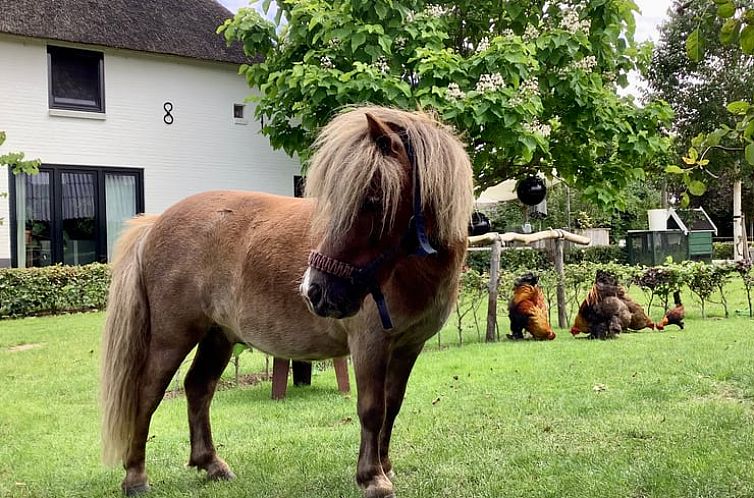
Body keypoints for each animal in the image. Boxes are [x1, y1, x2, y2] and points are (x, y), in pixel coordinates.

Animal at [101, 104, 470, 494]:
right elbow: (372, 409)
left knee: (198, 387)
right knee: (147, 395)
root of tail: (155, 223)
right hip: (172, 337)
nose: (315, 291)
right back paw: (136, 477)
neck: (409, 271)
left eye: (371, 201)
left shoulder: (408, 346)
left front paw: (385, 466)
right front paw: (372, 477)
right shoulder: (370, 344)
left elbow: (392, 405)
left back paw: (211, 464)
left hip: (219, 336)